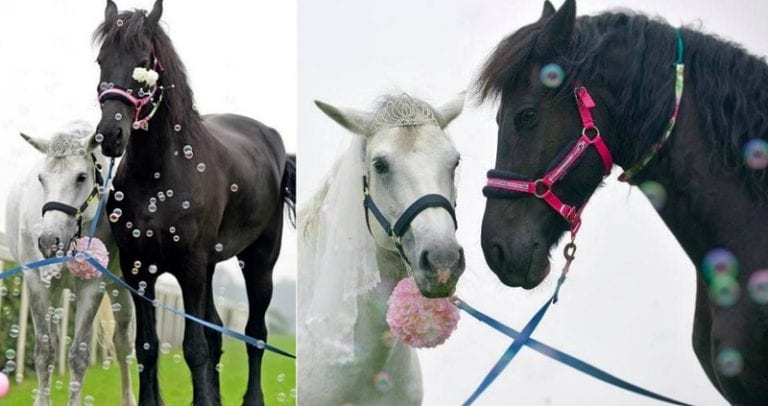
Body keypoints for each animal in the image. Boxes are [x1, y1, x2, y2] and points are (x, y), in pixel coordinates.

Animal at [6, 122, 136, 406]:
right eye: (41, 179)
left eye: (81, 177)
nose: (48, 241)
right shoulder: (37, 283)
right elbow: (44, 352)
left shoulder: (93, 286)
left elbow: (79, 355)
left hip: (119, 291)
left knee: (123, 343)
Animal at [91, 1, 296, 404]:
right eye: (101, 60)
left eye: (144, 62)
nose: (110, 135)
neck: (159, 177)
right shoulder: (140, 271)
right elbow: (148, 348)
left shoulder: (189, 268)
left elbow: (195, 347)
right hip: (210, 268)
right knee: (216, 330)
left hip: (258, 262)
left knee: (255, 334)